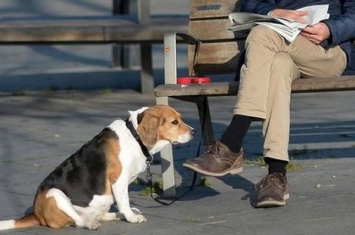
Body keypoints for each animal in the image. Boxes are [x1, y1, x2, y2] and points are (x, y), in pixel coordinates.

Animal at [0, 105, 195, 230]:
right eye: (174, 122)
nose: (193, 132)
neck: (135, 136)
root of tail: (36, 214)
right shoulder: (118, 180)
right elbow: (124, 201)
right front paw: (131, 218)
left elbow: (123, 203)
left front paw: (127, 214)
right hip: (55, 194)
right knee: (79, 221)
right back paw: (93, 223)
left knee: (99, 214)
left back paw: (115, 215)